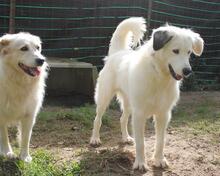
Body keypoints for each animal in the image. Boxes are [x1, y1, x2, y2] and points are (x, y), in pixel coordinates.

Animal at [0, 32, 48, 162]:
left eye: (38, 47)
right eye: (24, 48)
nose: (41, 60)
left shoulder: (29, 115)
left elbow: (26, 138)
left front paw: (25, 157)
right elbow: (4, 136)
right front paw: (7, 152)